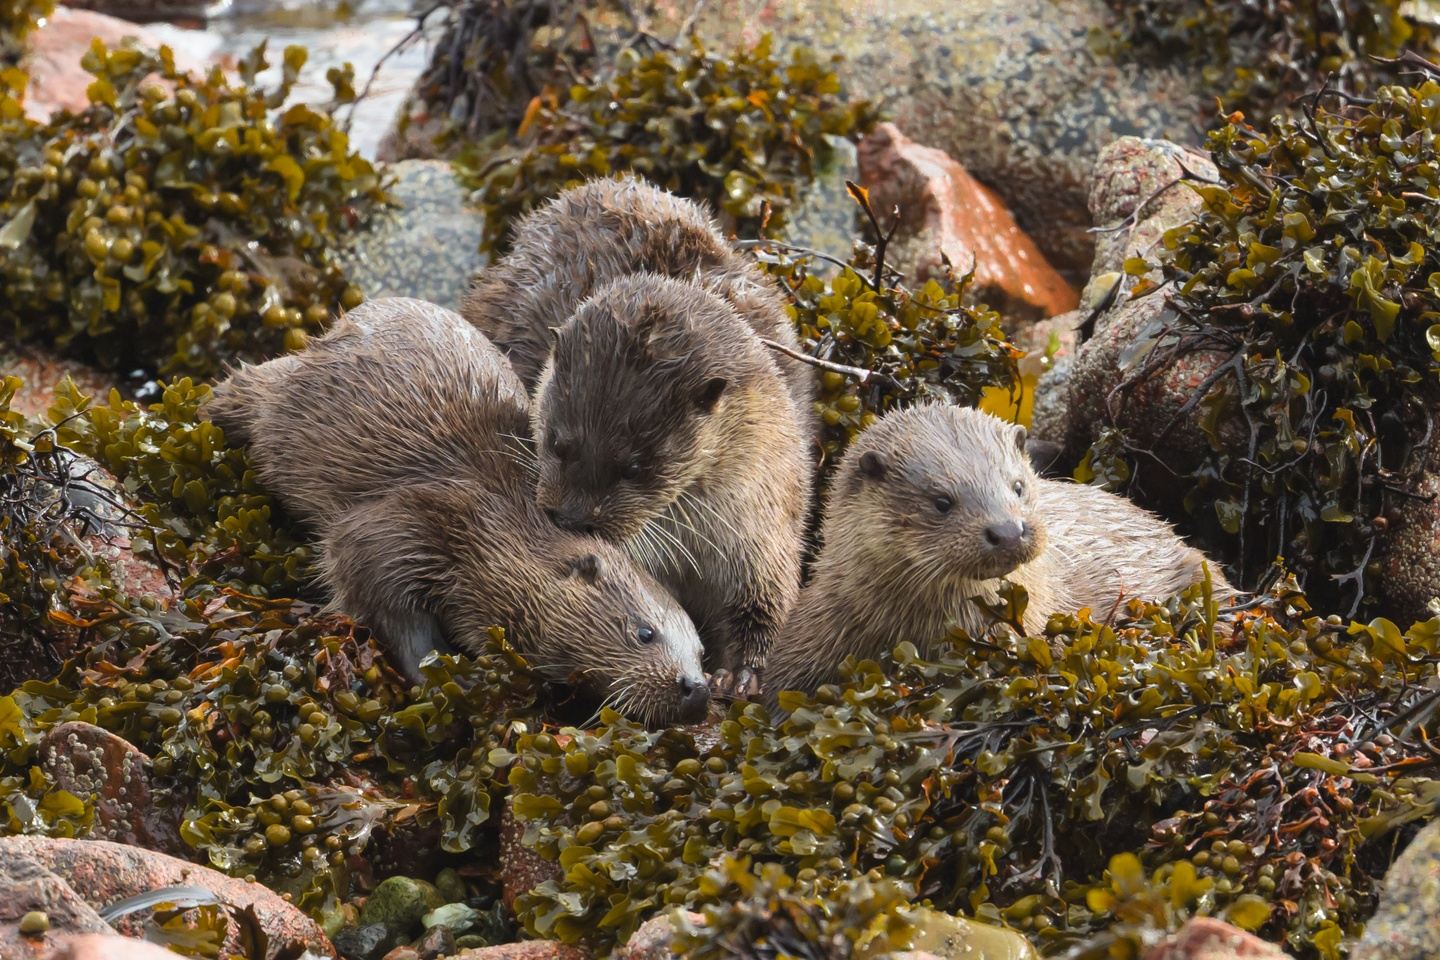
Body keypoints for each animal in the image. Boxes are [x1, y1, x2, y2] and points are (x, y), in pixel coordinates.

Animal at [205, 297, 710, 726]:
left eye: (702, 652)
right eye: (645, 633)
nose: (697, 689)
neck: (499, 527)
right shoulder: (406, 523)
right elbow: (377, 591)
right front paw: (442, 672)